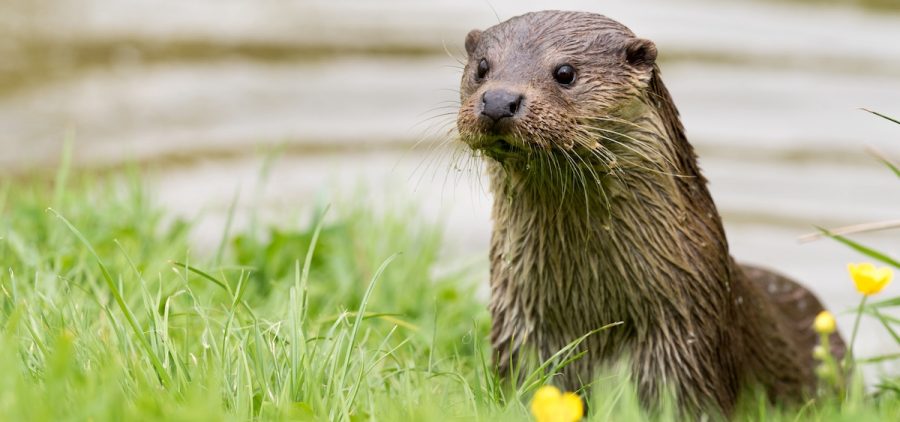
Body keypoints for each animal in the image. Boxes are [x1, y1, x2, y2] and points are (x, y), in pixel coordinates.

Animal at [455, 11, 845, 414]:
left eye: (565, 72)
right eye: (482, 67)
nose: (499, 100)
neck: (593, 313)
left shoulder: (685, 343)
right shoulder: (520, 329)